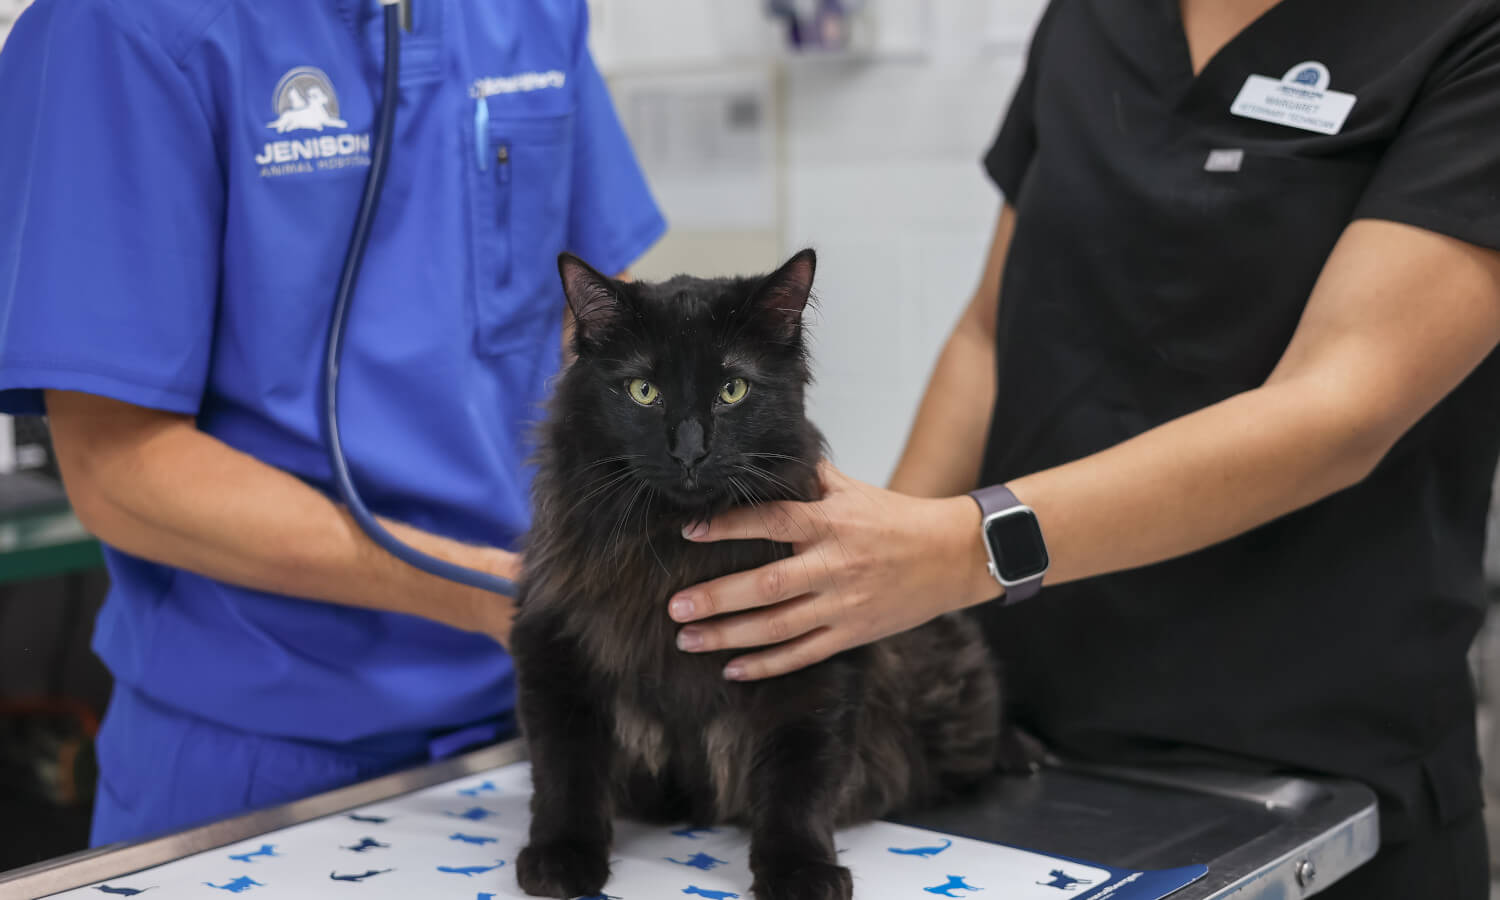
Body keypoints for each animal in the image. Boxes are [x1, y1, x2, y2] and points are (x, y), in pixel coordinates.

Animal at [513, 247, 1020, 900]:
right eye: (643, 391)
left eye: (733, 390)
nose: (689, 450)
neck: (674, 551)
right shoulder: (554, 649)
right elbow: (564, 771)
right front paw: (560, 857)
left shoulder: (810, 668)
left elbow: (796, 783)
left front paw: (801, 871)